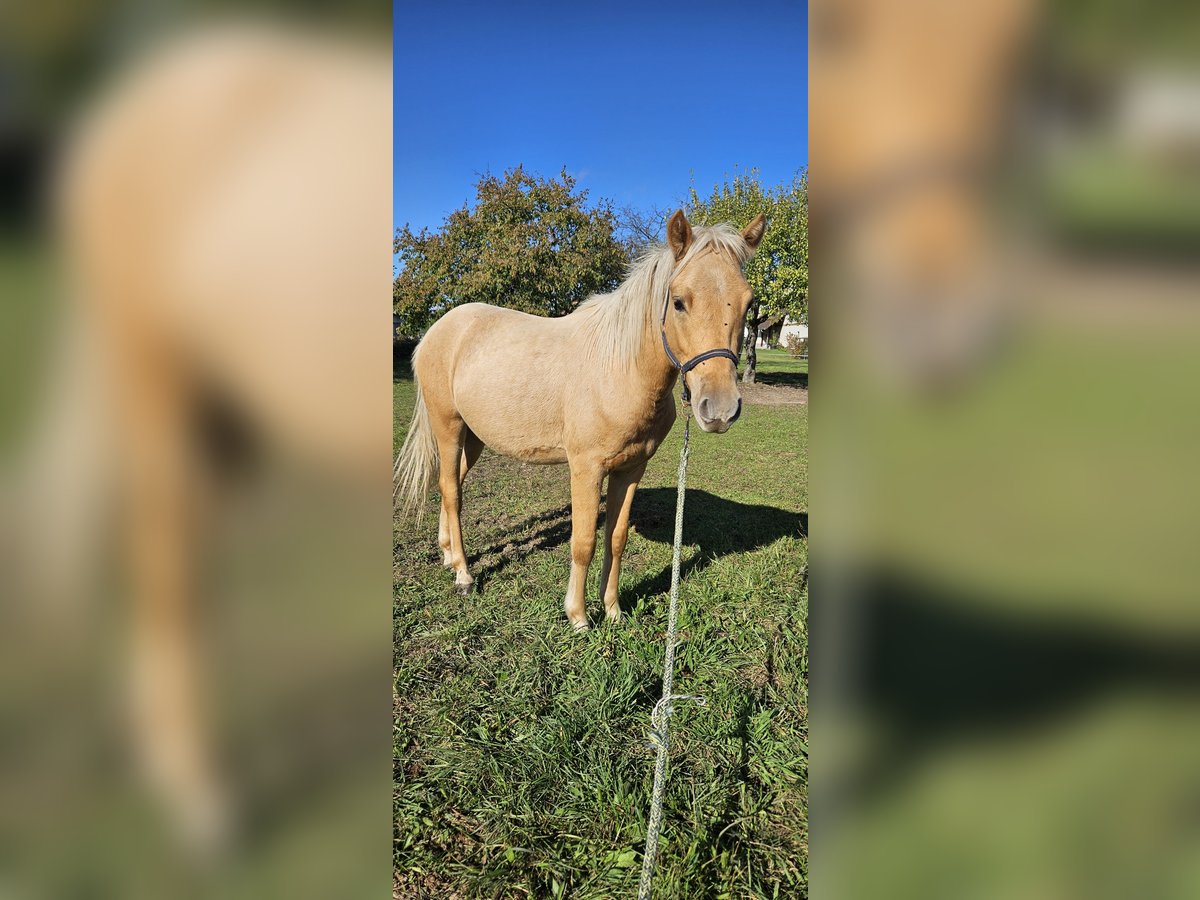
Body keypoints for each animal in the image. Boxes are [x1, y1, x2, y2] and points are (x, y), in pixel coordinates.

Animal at [396, 212, 768, 633]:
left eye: (748, 302)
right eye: (678, 302)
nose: (719, 409)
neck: (618, 368)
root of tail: (437, 330)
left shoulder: (630, 469)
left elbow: (616, 538)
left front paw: (613, 610)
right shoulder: (586, 469)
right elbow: (584, 541)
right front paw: (578, 615)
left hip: (474, 437)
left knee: (451, 484)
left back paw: (447, 554)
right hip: (449, 426)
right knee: (451, 491)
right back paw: (463, 573)